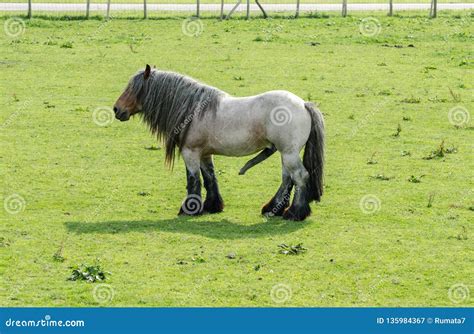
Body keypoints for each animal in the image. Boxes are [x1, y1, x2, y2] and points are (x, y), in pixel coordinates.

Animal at [113, 65, 324, 222]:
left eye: (133, 89)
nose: (116, 109)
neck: (194, 110)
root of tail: (304, 104)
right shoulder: (205, 154)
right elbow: (209, 178)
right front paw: (212, 206)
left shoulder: (190, 153)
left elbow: (193, 180)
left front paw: (189, 210)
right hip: (285, 153)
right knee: (287, 179)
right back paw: (273, 209)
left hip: (288, 153)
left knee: (299, 177)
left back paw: (295, 213)